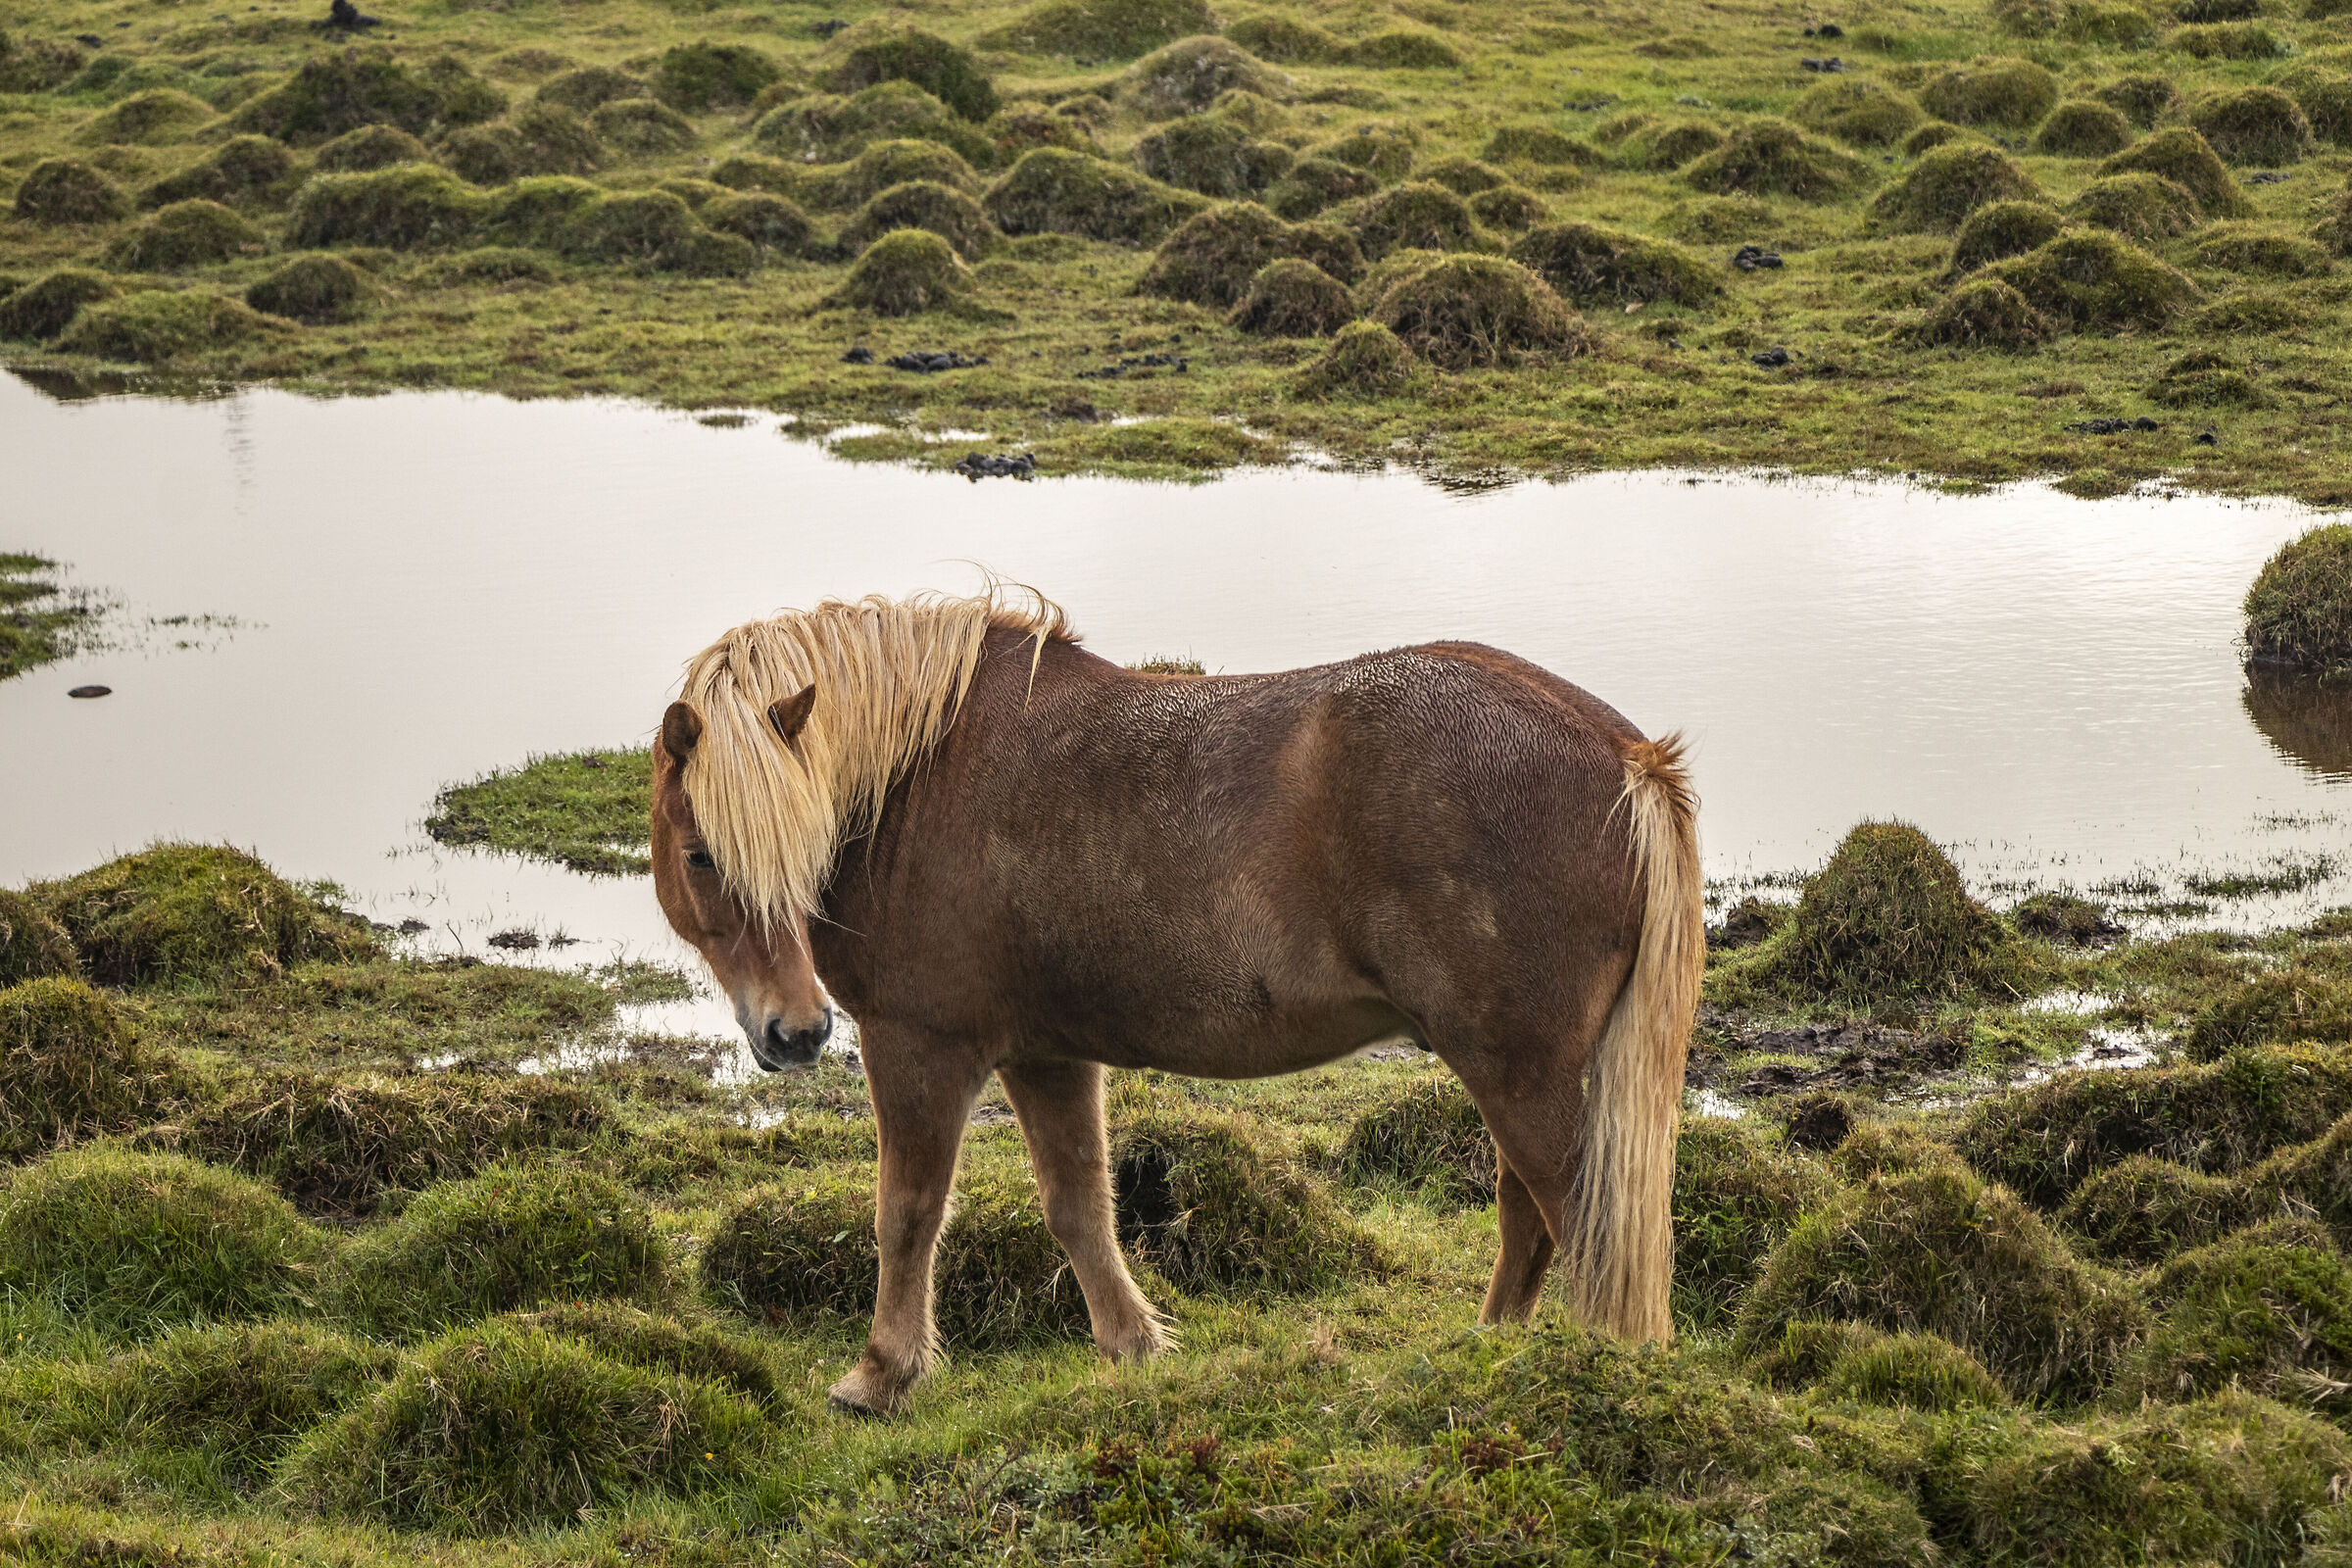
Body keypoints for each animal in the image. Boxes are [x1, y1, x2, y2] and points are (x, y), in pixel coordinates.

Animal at [650, 589, 1702, 1416]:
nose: (795, 1033)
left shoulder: (919, 1046)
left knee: (1574, 1222)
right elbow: (1080, 1206)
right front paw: (1135, 1347)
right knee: (1531, 1220)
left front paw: (879, 1377)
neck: (925, 779)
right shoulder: (1046, 1054)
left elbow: (907, 1213)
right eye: (701, 855)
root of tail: (1624, 754)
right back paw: (1486, 1360)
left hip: (1518, 1075)